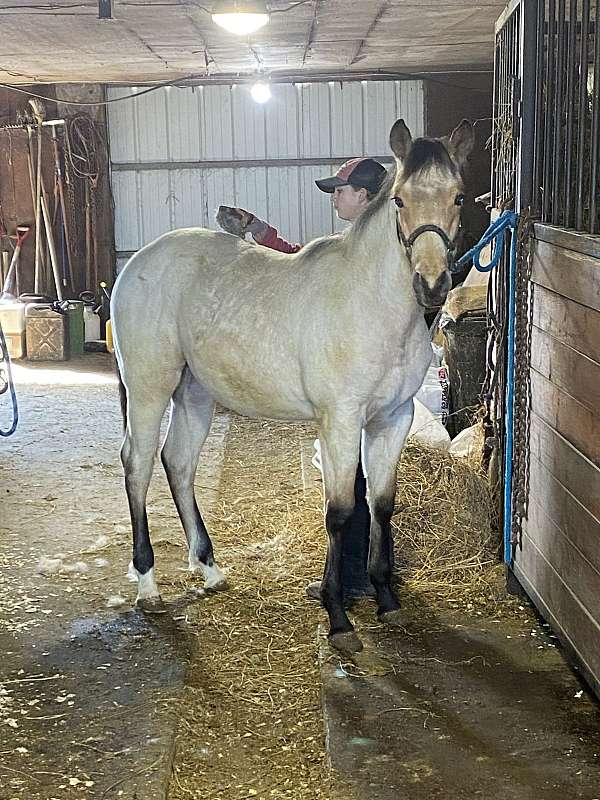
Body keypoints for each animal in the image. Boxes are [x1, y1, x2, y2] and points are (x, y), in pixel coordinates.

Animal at [111, 118, 474, 654]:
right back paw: (148, 584)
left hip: (195, 393)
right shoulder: (340, 421)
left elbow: (381, 506)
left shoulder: (393, 419)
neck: (370, 304)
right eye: (400, 200)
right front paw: (339, 618)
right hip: (149, 389)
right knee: (137, 464)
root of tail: (138, 262)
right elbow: (340, 513)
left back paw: (210, 569)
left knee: (177, 462)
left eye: (458, 196)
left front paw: (386, 600)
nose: (431, 284)